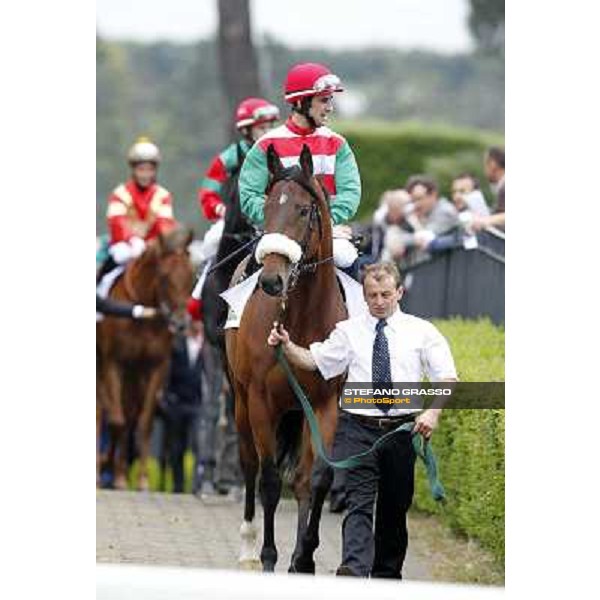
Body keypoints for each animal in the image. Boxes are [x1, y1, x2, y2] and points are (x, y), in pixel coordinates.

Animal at [97, 227, 193, 490]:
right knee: (103, 413)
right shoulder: (114, 364)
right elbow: (116, 420)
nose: (181, 324)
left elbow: (144, 423)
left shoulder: (155, 368)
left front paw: (140, 480)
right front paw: (115, 473)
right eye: (165, 277)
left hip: (135, 378)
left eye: (192, 277)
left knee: (130, 415)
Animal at [225, 144, 346, 572]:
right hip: (240, 400)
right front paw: (269, 555)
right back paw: (247, 546)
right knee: (249, 464)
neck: (302, 318)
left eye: (303, 210)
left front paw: (304, 556)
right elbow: (270, 480)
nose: (271, 280)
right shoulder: (262, 401)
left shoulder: (324, 403)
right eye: (265, 208)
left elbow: (317, 478)